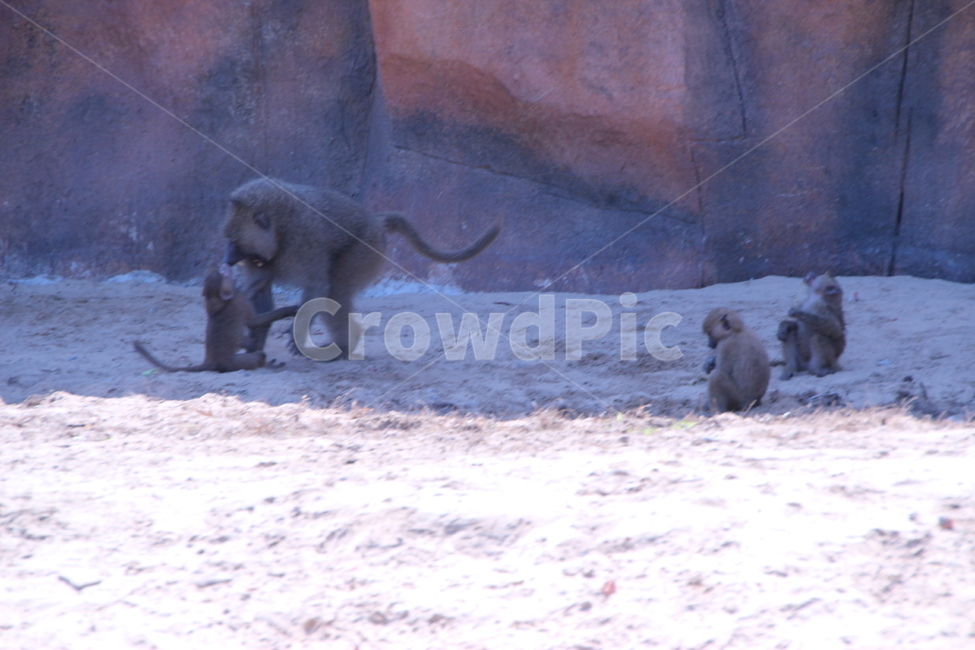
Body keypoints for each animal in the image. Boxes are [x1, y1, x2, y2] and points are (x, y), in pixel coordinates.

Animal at [133, 267, 299, 373]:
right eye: (223, 276)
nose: (226, 270)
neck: (219, 301)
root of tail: (211, 362)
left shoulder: (236, 297)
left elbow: (248, 292)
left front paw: (261, 282)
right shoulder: (240, 301)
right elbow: (254, 321)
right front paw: (289, 309)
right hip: (232, 363)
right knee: (257, 356)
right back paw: (266, 363)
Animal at [222, 177, 501, 359]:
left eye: (234, 241)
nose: (228, 259)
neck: (279, 228)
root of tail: (375, 220)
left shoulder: (304, 239)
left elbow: (317, 287)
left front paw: (294, 335)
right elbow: (258, 288)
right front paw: (255, 343)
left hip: (366, 249)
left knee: (335, 291)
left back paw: (344, 347)